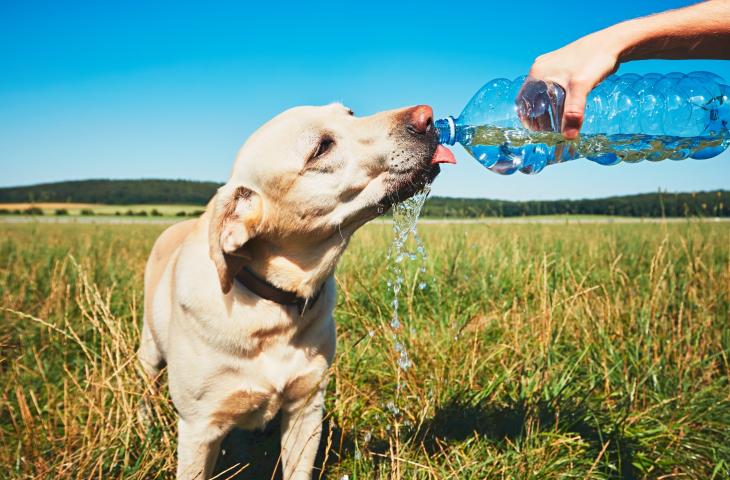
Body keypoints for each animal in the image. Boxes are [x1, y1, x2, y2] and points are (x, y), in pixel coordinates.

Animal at [137, 103, 456, 478]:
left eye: (350, 113)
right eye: (321, 148)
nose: (427, 116)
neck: (272, 308)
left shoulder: (306, 408)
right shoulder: (199, 427)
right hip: (149, 352)